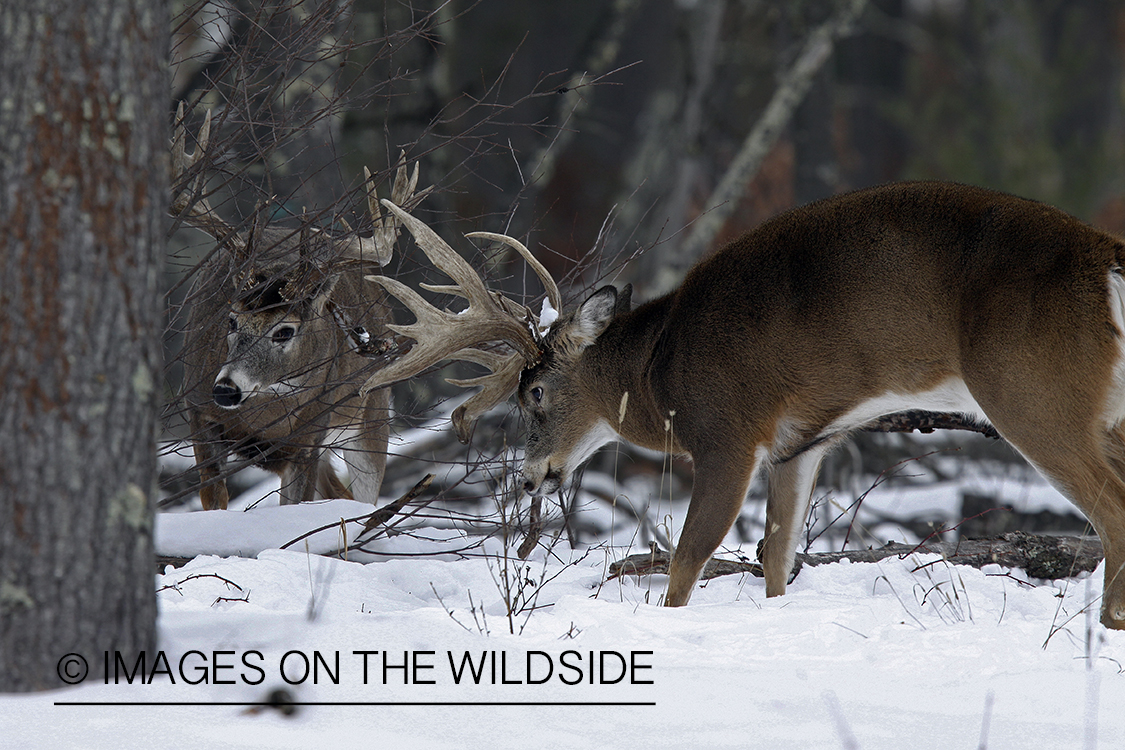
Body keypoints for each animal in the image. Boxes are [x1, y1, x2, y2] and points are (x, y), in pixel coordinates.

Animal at [171, 105, 425, 510]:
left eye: (285, 330)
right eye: (231, 320)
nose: (226, 389)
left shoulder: (309, 433)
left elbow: (294, 503)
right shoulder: (197, 410)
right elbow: (214, 498)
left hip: (373, 410)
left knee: (363, 498)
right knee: (337, 492)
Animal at [357, 184, 1125, 629]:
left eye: (536, 392)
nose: (527, 476)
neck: (660, 369)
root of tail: (1103, 257)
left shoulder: (727, 432)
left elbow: (687, 558)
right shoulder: (802, 443)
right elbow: (777, 556)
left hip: (1033, 394)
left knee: (1109, 509)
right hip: (1099, 410)